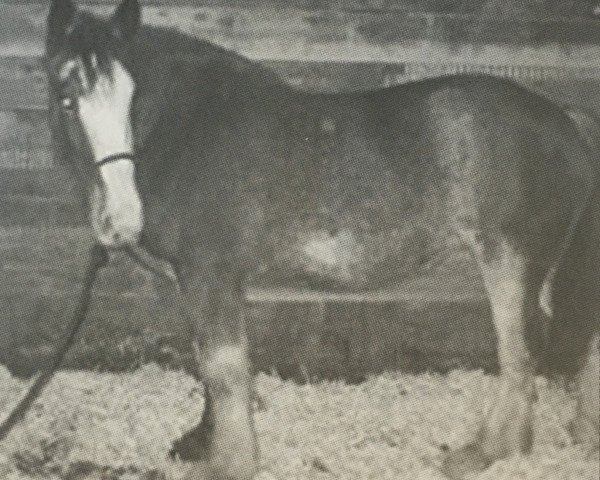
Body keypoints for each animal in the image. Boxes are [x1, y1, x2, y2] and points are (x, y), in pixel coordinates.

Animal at [44, 1, 596, 478]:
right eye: (66, 99)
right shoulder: (201, 282)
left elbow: (225, 368)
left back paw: (488, 453)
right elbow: (209, 362)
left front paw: (230, 463)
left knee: (521, 353)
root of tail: (569, 122)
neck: (189, 131)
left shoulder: (210, 275)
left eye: (131, 99)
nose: (122, 219)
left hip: (511, 261)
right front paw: (201, 441)